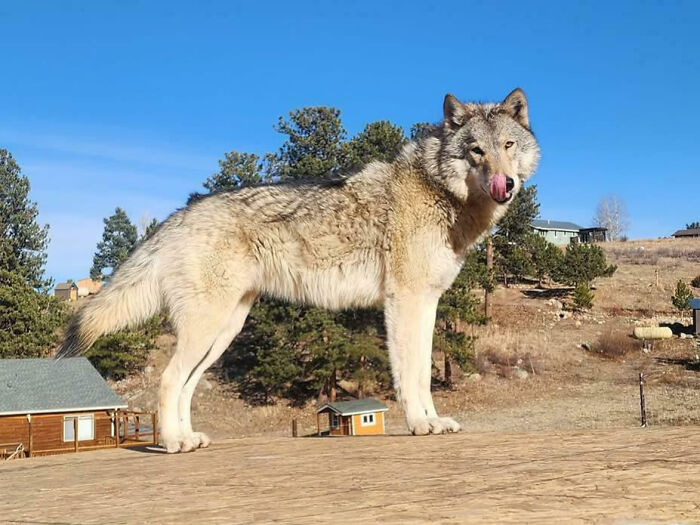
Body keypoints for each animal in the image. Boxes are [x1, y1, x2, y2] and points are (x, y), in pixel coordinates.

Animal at [58, 88, 540, 453]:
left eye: (508, 146)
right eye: (476, 151)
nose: (506, 184)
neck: (440, 193)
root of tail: (177, 215)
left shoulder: (426, 304)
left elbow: (422, 372)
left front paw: (434, 422)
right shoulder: (404, 302)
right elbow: (413, 374)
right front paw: (421, 425)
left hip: (223, 332)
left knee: (186, 385)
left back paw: (189, 439)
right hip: (206, 329)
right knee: (168, 380)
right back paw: (173, 444)